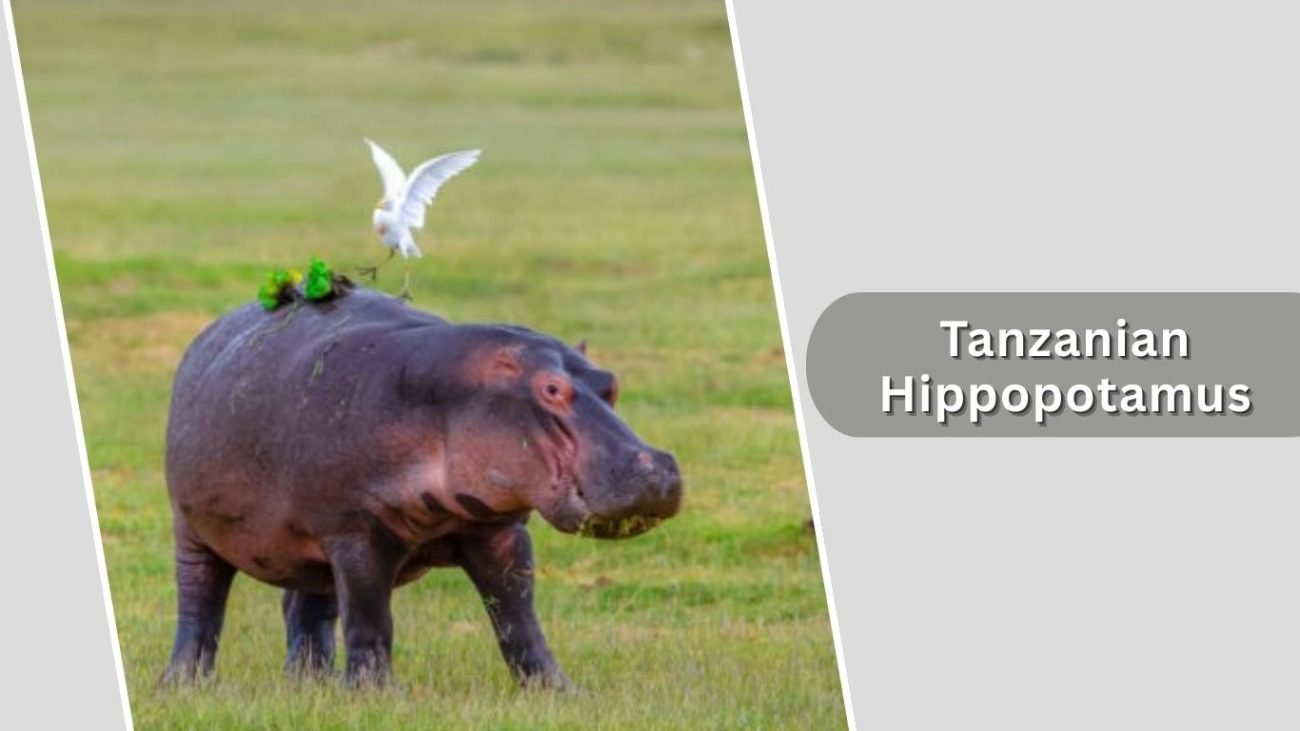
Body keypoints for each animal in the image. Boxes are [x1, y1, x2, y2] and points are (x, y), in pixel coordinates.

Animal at [160, 288, 683, 688]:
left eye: (611, 383)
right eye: (552, 389)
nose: (656, 470)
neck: (448, 398)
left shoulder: (500, 531)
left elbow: (518, 620)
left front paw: (558, 691)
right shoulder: (356, 534)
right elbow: (371, 618)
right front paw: (374, 695)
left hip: (312, 549)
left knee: (307, 609)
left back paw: (309, 685)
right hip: (194, 530)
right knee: (200, 604)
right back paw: (183, 685)